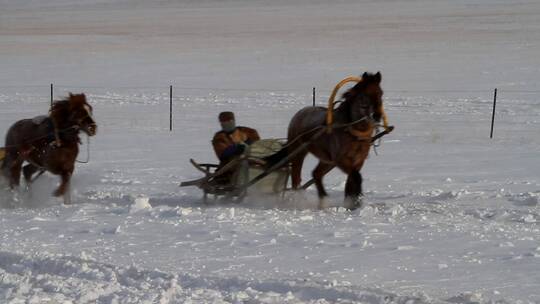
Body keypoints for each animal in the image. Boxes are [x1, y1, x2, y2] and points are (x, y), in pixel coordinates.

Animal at [288, 72, 386, 209]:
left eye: (380, 93)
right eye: (364, 96)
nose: (376, 116)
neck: (352, 131)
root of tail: (299, 113)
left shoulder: (358, 160)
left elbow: (352, 180)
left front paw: (352, 203)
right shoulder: (340, 159)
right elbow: (356, 177)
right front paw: (354, 201)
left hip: (326, 159)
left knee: (316, 174)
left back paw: (323, 200)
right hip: (298, 152)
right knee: (296, 178)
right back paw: (299, 199)